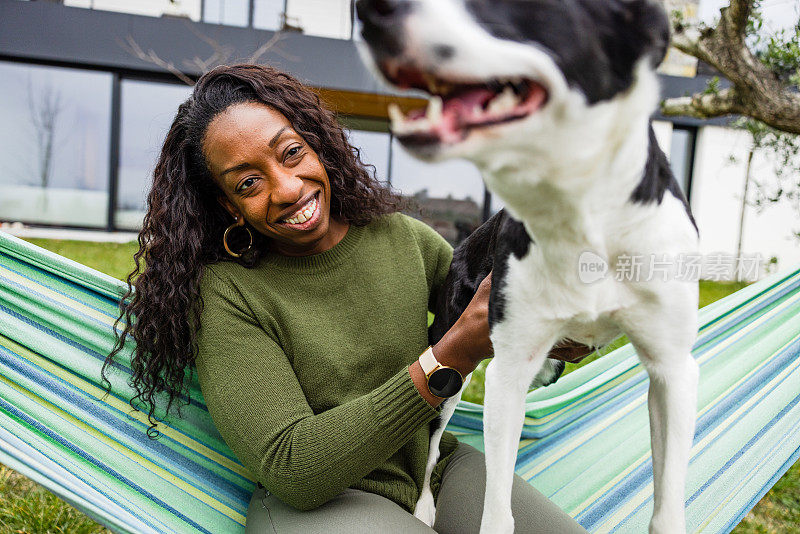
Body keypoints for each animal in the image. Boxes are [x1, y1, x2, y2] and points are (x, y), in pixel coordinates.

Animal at [356, 2, 700, 532]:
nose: (372, 11)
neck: (581, 214)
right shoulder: (509, 370)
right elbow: (496, 509)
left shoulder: (673, 372)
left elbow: (667, 507)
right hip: (451, 367)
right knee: (433, 441)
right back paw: (425, 507)